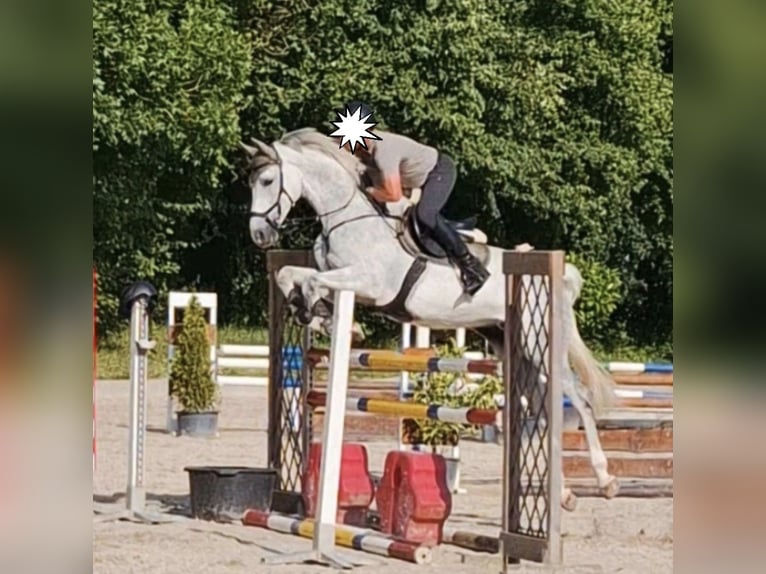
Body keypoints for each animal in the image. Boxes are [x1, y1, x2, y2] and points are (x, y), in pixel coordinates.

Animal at [240, 128, 619, 505]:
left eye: (267, 180)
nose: (259, 235)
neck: (346, 217)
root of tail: (562, 276)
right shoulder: (339, 278)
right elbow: (289, 274)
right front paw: (316, 314)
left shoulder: (368, 283)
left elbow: (313, 281)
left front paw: (327, 317)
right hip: (512, 344)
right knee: (538, 405)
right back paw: (564, 491)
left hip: (539, 342)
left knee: (579, 399)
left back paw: (605, 479)